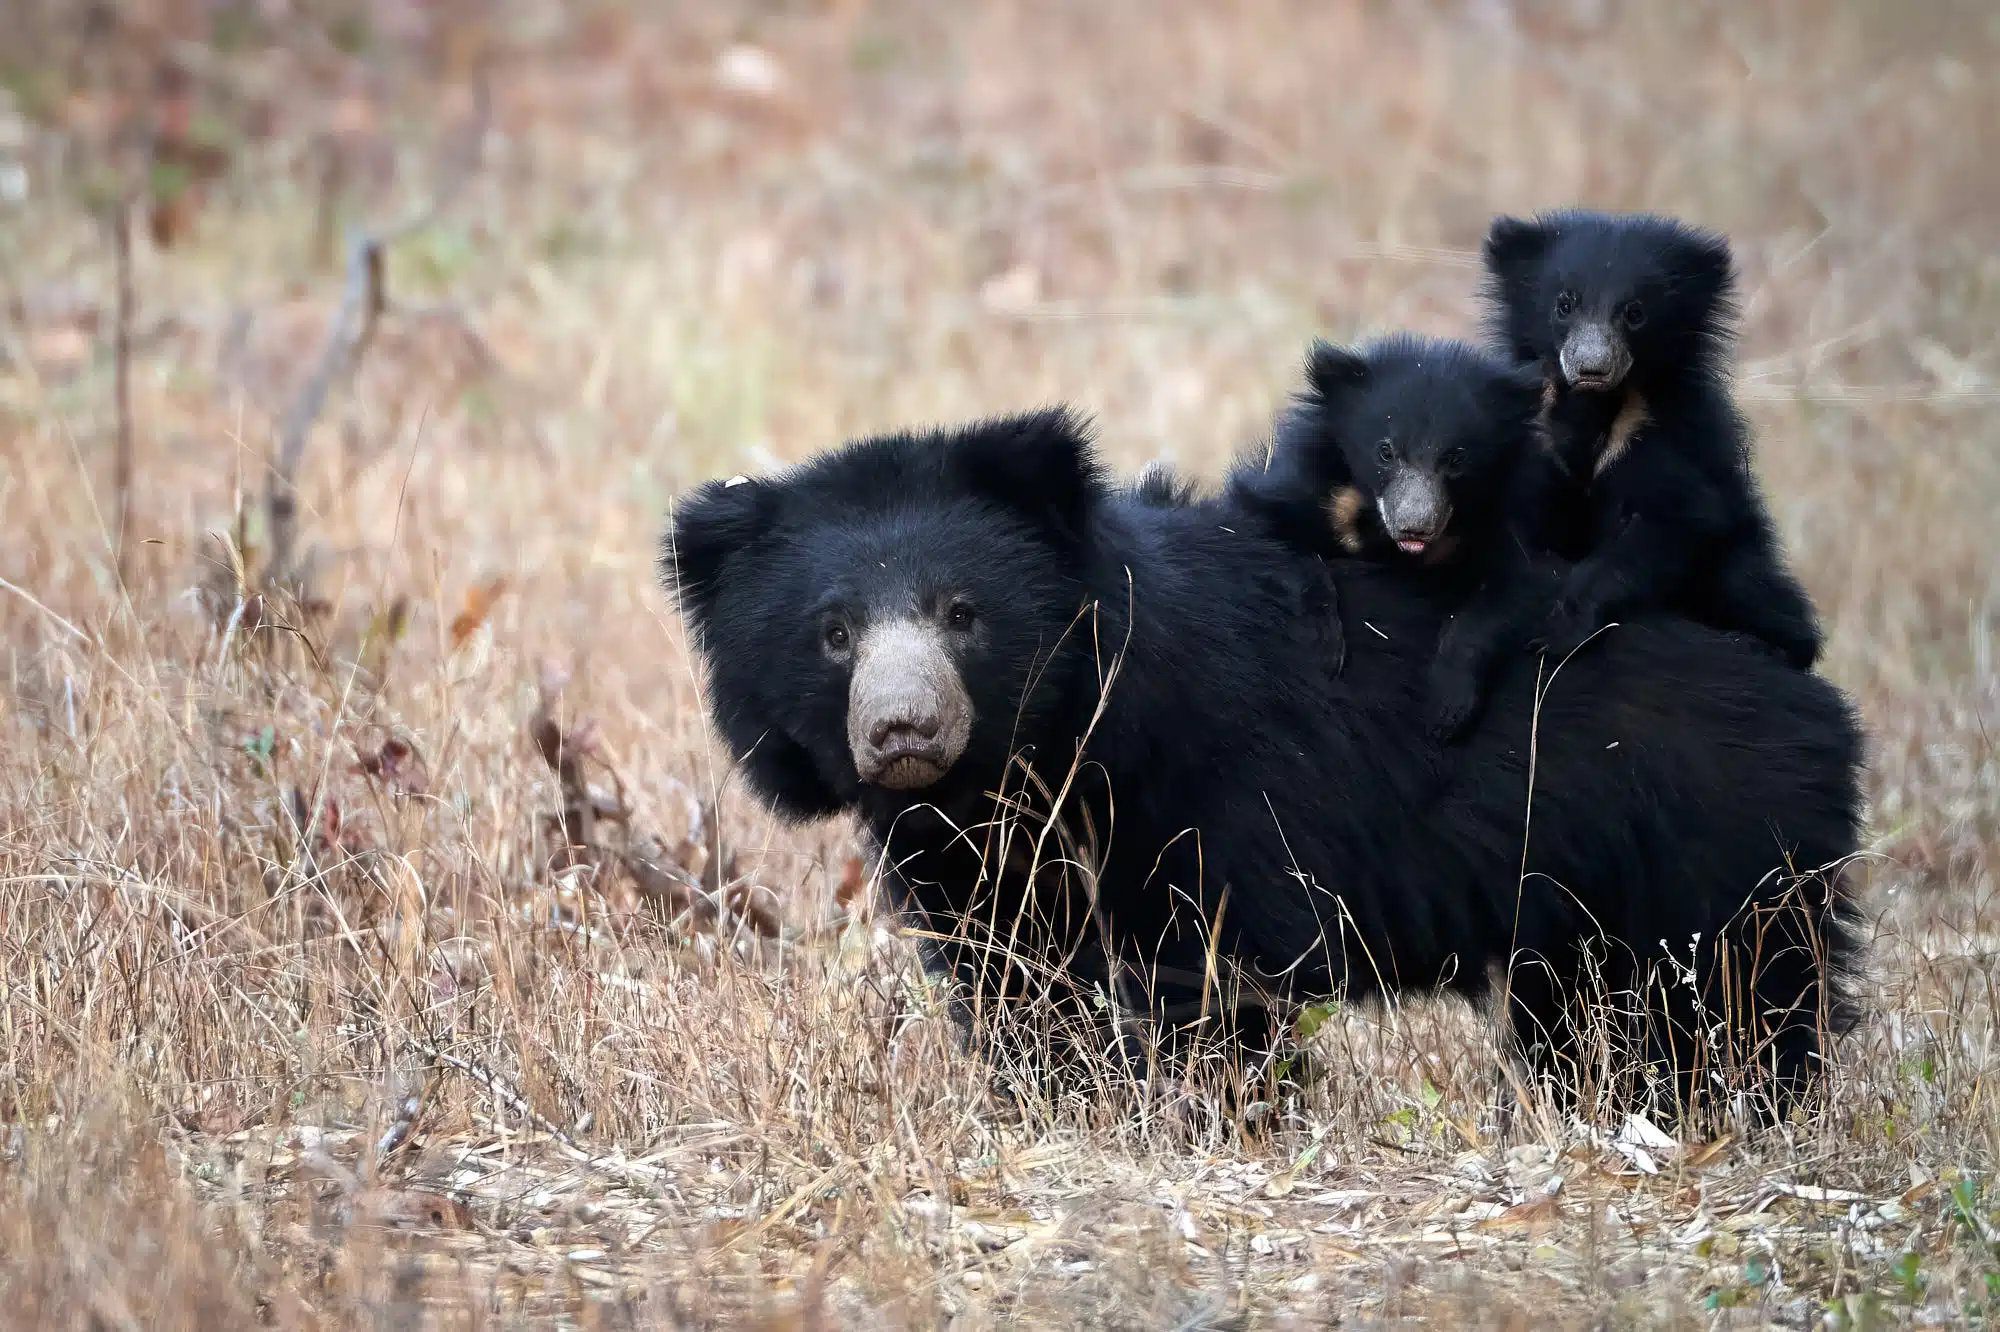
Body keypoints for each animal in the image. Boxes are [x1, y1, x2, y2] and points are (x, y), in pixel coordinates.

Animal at [663, 407, 1865, 1116]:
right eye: (832, 635)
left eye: (962, 614)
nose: (904, 733)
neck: (1035, 756)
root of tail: (1797, 682)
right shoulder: (981, 852)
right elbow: (1018, 968)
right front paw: (1059, 1098)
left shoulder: (1213, 781)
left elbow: (1215, 958)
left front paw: (1206, 1105)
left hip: (1700, 834)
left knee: (1727, 997)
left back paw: (1725, 1111)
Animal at [1232, 334, 1557, 740]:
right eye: (1385, 451)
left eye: (1457, 459)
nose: (1414, 526)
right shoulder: (1308, 488)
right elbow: (1272, 531)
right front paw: (1325, 648)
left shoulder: (1506, 519)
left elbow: (1510, 587)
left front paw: (1447, 707)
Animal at [1479, 207, 1825, 670]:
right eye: (1564, 304)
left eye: (1635, 312)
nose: (1592, 367)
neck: (1595, 406)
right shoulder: (1536, 438)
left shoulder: (1665, 434)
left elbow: (1678, 519)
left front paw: (1561, 629)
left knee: (1751, 585)